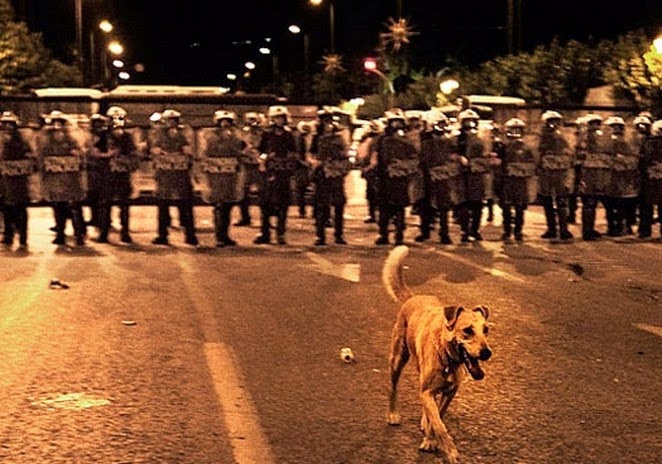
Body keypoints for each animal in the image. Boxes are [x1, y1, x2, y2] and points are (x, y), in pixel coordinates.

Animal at [384, 245, 492, 462]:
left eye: (486, 330)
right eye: (467, 331)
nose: (487, 353)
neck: (447, 357)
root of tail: (413, 297)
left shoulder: (449, 393)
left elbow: (438, 416)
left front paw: (430, 437)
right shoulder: (426, 392)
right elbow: (439, 424)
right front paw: (448, 449)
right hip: (398, 358)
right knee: (393, 386)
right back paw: (393, 414)